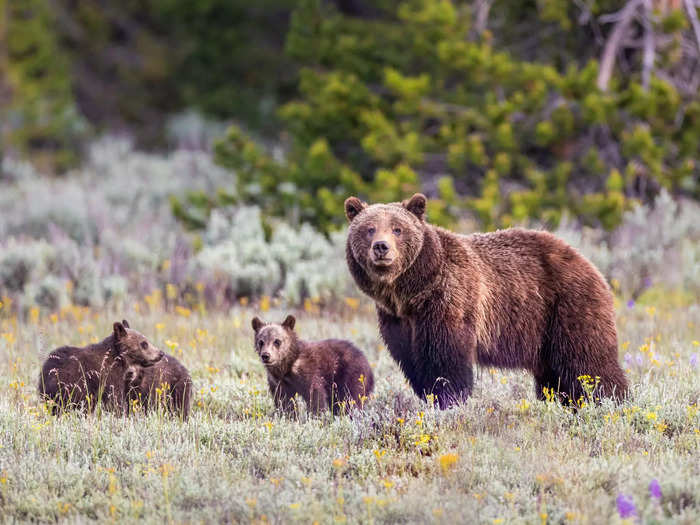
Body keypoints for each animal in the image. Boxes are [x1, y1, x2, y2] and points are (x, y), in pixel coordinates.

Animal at [344, 193, 628, 410]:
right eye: (369, 229)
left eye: (397, 229)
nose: (381, 247)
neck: (410, 292)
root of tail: (589, 263)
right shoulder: (397, 320)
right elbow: (413, 362)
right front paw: (430, 396)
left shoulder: (449, 301)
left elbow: (446, 361)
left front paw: (449, 400)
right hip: (545, 335)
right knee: (554, 377)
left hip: (567, 307)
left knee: (588, 363)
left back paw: (611, 402)